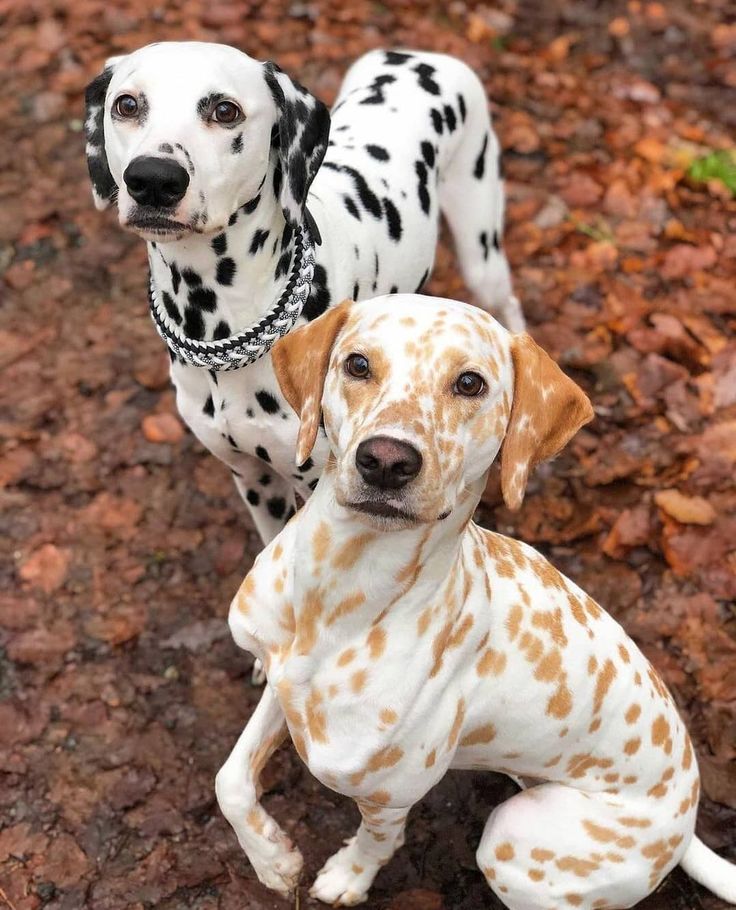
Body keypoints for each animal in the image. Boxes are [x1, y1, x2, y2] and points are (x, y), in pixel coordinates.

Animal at [86, 42, 524, 544]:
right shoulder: (254, 480)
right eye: (126, 105)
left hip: (481, 252)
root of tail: (421, 54)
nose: (154, 178)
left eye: (225, 110)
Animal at [214, 296, 736, 908]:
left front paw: (346, 877)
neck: (337, 590)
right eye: (358, 365)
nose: (385, 460)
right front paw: (274, 861)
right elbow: (230, 781)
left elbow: (377, 844)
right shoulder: (280, 678)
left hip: (512, 841)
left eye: (469, 383)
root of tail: (687, 825)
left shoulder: (388, 797)